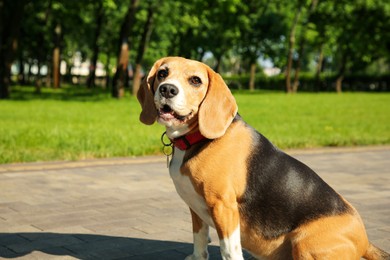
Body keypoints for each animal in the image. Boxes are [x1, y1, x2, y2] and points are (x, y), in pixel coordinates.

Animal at [136, 57, 386, 260]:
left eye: (196, 80)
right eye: (162, 73)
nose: (167, 89)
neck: (197, 139)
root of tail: (365, 241)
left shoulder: (223, 207)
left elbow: (229, 250)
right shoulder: (195, 207)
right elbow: (199, 240)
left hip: (304, 243)